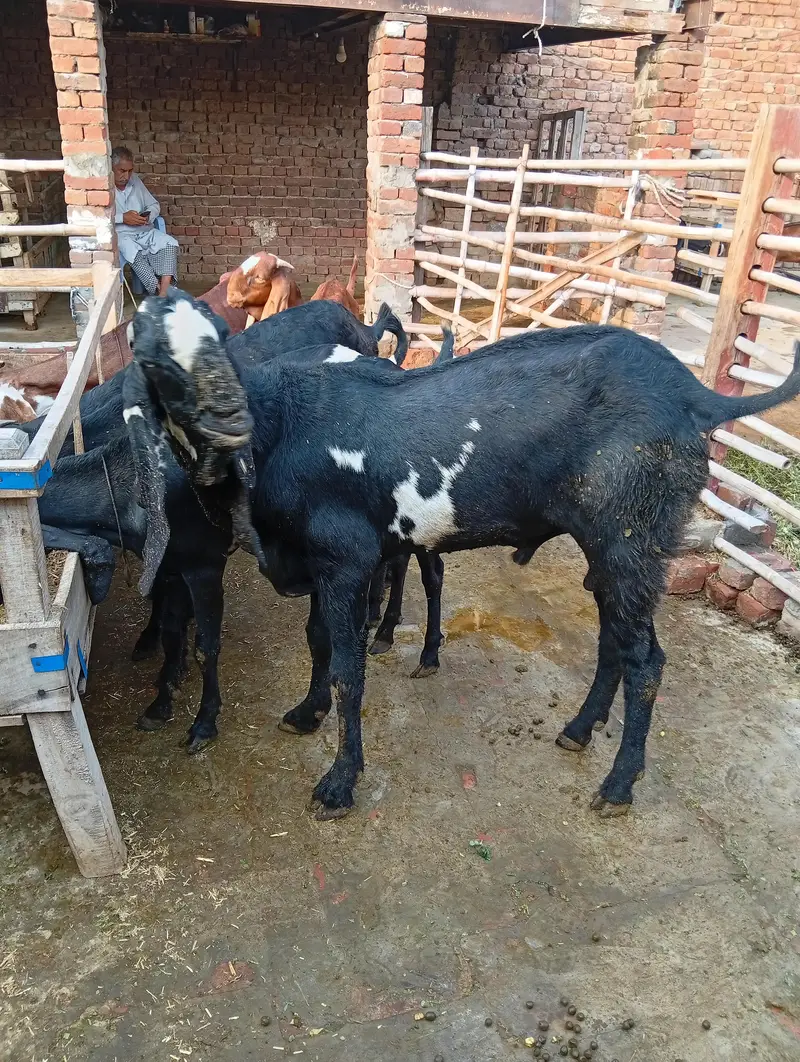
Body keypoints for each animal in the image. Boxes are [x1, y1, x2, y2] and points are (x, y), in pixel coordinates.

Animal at [127, 292, 800, 820]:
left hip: (632, 542)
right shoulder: (320, 561)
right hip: (613, 552)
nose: (227, 419)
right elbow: (319, 642)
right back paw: (579, 730)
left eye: (219, 339)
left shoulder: (346, 558)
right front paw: (306, 712)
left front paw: (339, 782)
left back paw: (617, 784)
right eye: (151, 358)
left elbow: (348, 668)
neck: (281, 424)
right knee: (616, 641)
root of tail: (696, 396)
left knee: (648, 662)